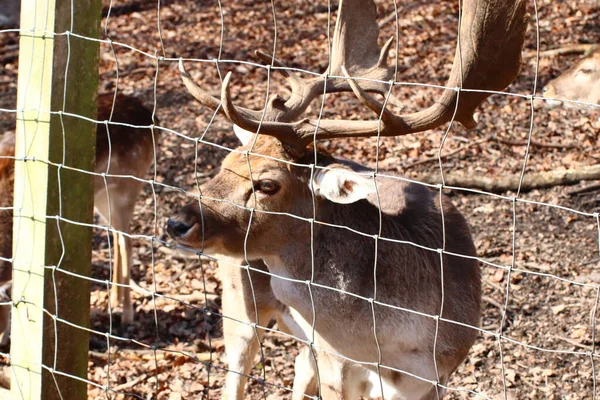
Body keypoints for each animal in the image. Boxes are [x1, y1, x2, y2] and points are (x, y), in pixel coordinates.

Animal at [0, 92, 159, 326]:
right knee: (116, 235)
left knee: (126, 241)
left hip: (128, 186)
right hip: (102, 196)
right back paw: (114, 298)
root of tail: (152, 117)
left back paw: (127, 314)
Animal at [166, 0, 528, 396]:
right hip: (238, 305)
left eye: (267, 184)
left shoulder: (442, 373)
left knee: (297, 366)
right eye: (225, 162)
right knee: (236, 375)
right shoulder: (335, 361)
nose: (176, 222)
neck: (391, 352)